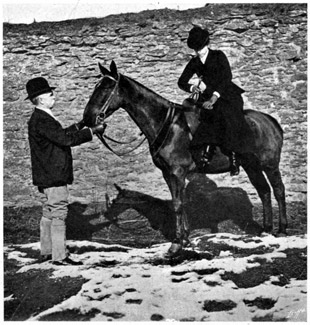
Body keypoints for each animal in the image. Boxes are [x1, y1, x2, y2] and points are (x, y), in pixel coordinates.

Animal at [83, 60, 286, 256]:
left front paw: (176, 244)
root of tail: (270, 121)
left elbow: (178, 204)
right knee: (264, 191)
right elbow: (178, 202)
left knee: (278, 190)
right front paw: (185, 239)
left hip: (269, 165)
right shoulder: (168, 174)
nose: (88, 118)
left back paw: (282, 230)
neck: (166, 124)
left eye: (107, 88)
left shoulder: (177, 172)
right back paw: (266, 230)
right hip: (252, 166)